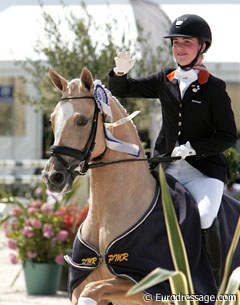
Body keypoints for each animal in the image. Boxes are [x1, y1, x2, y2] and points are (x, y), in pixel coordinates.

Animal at [42, 68, 240, 304]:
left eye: (82, 121)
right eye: (52, 119)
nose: (53, 177)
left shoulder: (151, 283)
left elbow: (94, 290)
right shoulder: (80, 283)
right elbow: (89, 291)